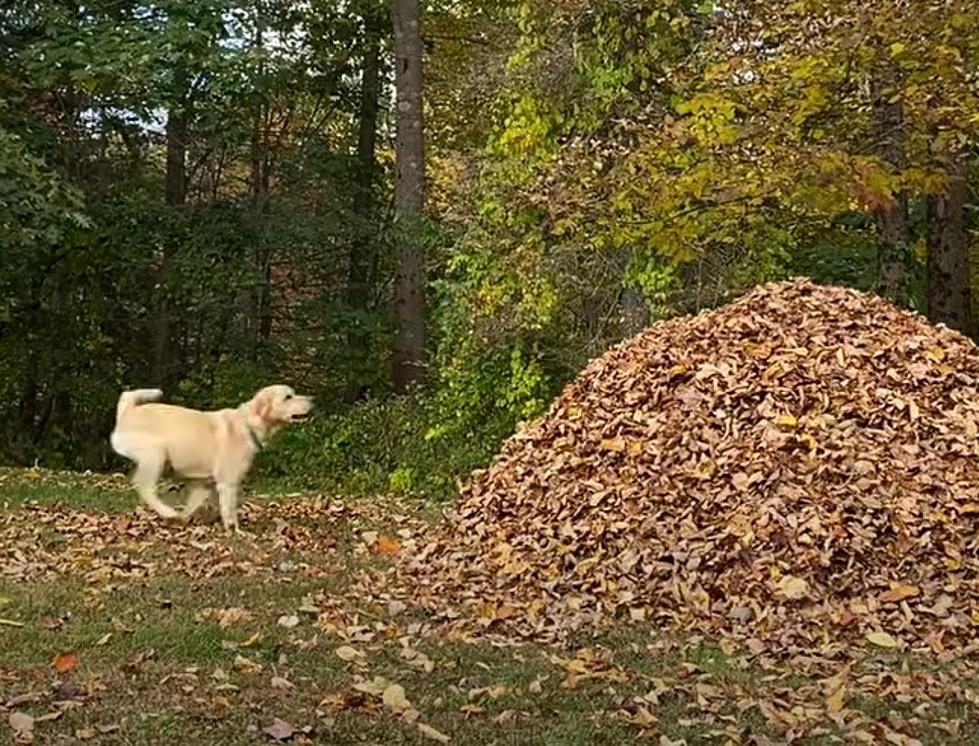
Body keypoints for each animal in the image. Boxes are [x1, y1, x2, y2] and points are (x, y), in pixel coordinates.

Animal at [109, 384, 312, 528]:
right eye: (288, 397)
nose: (312, 399)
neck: (247, 424)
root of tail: (127, 412)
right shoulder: (228, 482)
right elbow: (230, 510)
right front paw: (236, 531)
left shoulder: (206, 484)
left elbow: (196, 505)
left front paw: (186, 519)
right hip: (156, 454)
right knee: (144, 486)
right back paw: (167, 511)